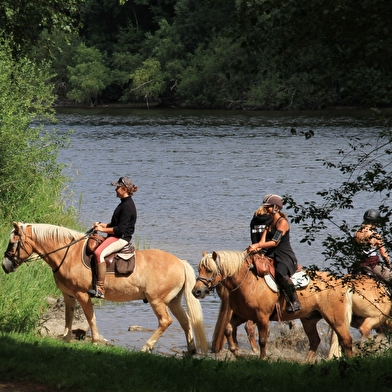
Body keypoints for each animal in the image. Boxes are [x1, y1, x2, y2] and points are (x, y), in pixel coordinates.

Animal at [2, 224, 208, 356]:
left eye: (13, 242)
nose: (5, 265)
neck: (68, 254)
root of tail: (180, 262)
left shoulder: (82, 294)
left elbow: (90, 317)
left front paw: (96, 340)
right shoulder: (68, 295)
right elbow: (69, 317)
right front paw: (66, 338)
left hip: (157, 300)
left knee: (166, 321)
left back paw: (147, 347)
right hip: (173, 301)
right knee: (185, 321)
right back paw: (191, 350)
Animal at [191, 251, 354, 362]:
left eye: (210, 270)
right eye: (199, 269)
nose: (196, 291)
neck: (247, 282)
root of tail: (339, 282)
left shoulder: (262, 317)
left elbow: (263, 339)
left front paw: (262, 359)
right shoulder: (243, 316)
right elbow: (228, 329)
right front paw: (236, 351)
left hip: (336, 319)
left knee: (346, 340)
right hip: (309, 319)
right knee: (315, 341)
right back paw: (306, 363)